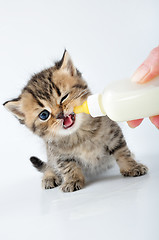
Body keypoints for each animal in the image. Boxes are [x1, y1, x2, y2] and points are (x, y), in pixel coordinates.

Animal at [3, 51, 148, 193]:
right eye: (44, 115)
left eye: (64, 97)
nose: (60, 115)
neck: (79, 135)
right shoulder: (58, 154)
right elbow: (68, 166)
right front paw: (72, 181)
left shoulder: (114, 134)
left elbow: (122, 152)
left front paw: (132, 167)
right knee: (49, 165)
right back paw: (49, 176)